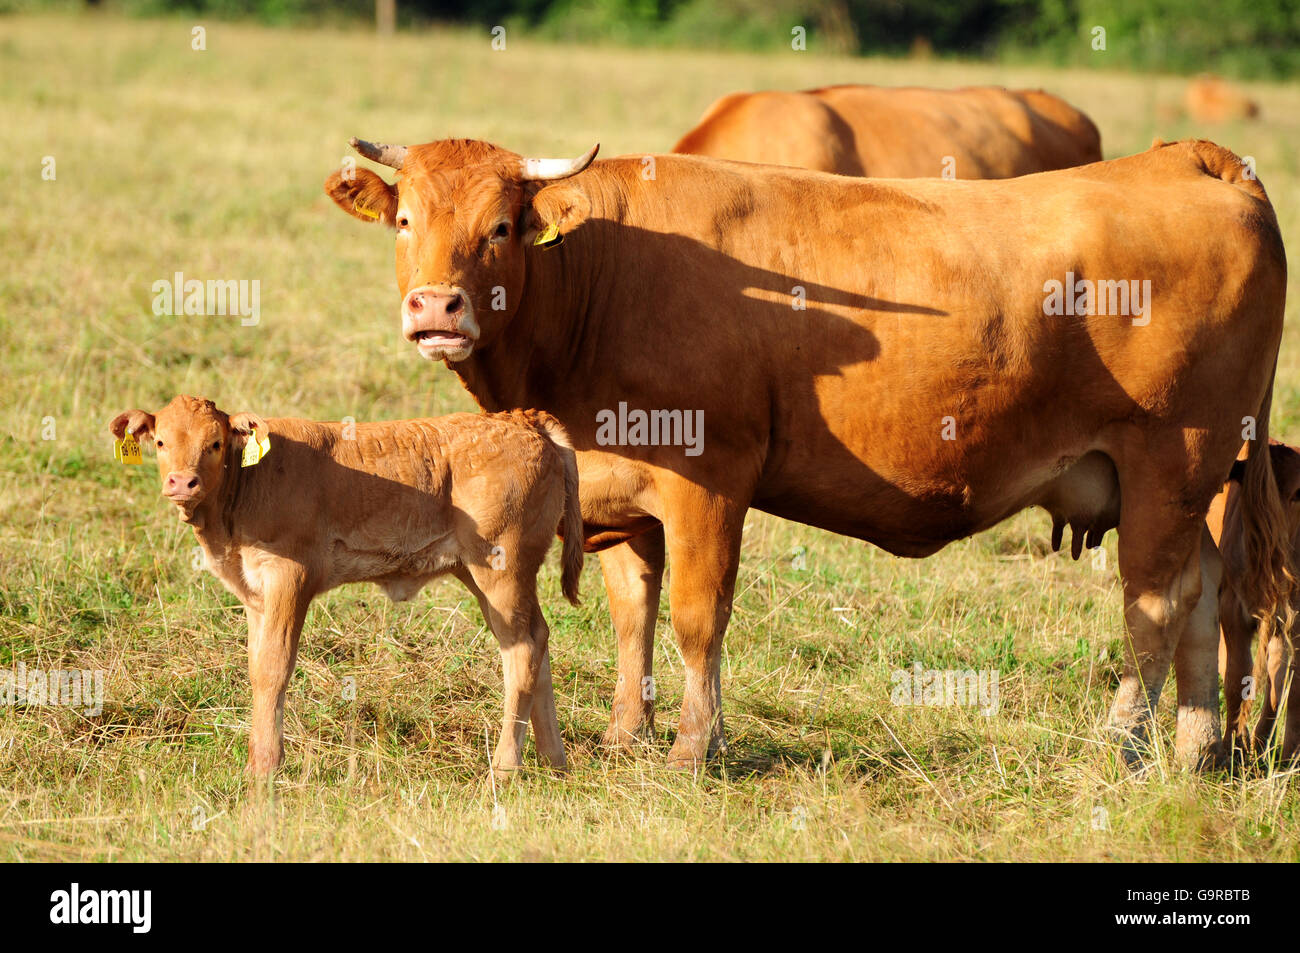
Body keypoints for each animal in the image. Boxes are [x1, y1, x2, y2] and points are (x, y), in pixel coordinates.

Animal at [109, 396, 583, 778]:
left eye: (215, 444)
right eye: (160, 443)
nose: (182, 482)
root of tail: (521, 420)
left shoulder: (289, 577)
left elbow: (274, 667)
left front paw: (266, 768)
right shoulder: (255, 594)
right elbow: (256, 666)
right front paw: (255, 761)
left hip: (501, 568)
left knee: (521, 650)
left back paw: (504, 769)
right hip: (484, 575)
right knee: (536, 639)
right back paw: (553, 760)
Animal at [323, 134, 1290, 772]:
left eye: (500, 227)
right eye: (404, 217)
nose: (436, 307)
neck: (607, 274)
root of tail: (1187, 159)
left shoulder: (711, 479)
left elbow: (695, 617)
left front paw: (692, 747)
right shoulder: (623, 492)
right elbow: (634, 611)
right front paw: (627, 734)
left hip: (1171, 461)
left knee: (1155, 606)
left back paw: (1122, 745)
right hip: (1195, 484)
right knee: (1205, 595)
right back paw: (1199, 749)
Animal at [1207, 441, 1300, 761]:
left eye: (1298, 493)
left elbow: (1290, 688)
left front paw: (1288, 758)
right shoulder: (1232, 610)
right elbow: (1237, 678)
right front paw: (1230, 747)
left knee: (1276, 673)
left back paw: (1261, 741)